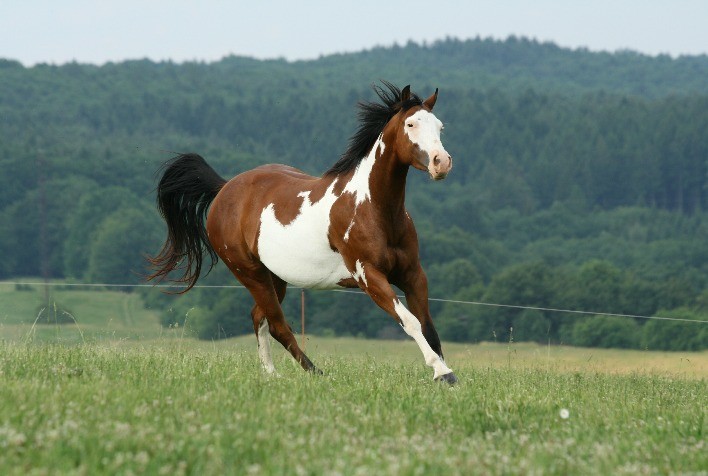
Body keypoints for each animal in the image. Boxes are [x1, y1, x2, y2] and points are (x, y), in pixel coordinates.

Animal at [150, 82, 460, 384]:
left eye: (440, 126)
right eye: (410, 124)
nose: (441, 162)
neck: (374, 209)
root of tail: (224, 188)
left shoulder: (412, 274)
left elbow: (428, 325)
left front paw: (446, 374)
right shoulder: (369, 276)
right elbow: (411, 321)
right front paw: (442, 372)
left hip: (275, 277)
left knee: (259, 317)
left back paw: (271, 374)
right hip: (250, 272)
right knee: (277, 324)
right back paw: (315, 373)